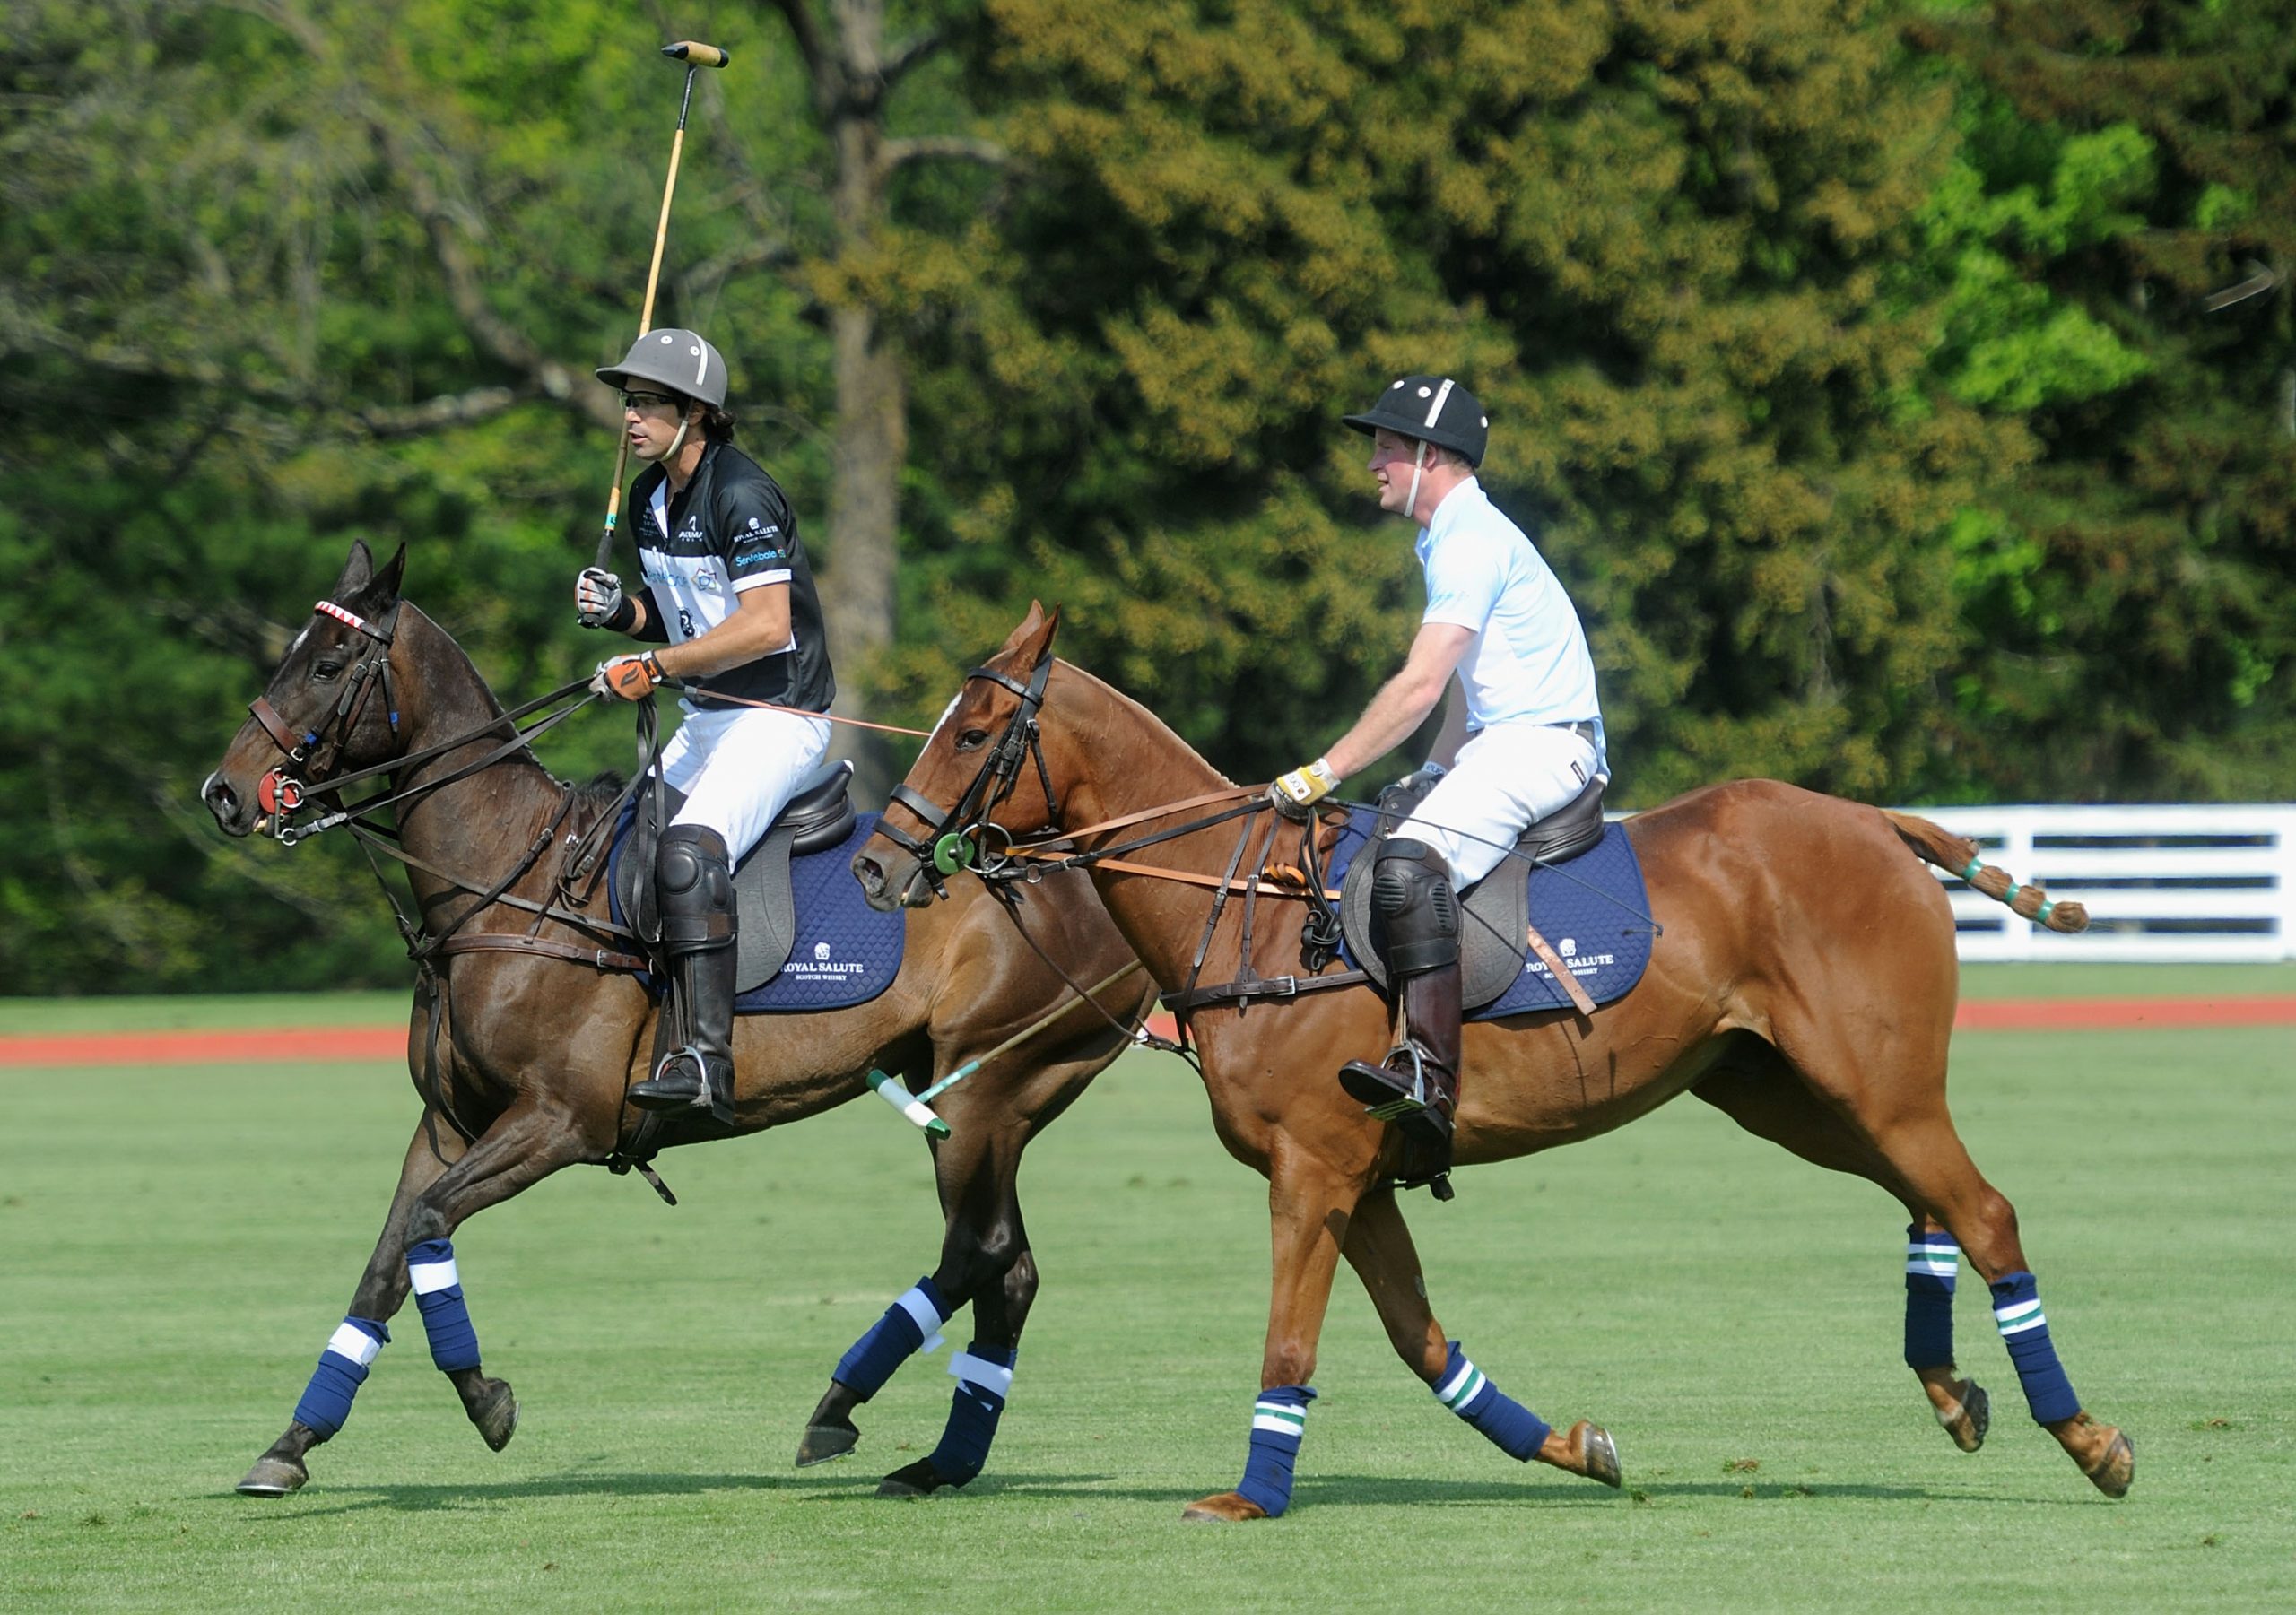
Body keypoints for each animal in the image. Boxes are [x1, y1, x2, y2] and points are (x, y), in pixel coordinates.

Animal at [199, 545, 1148, 1505]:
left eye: (327, 665)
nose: (224, 795)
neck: (509, 883)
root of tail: (1079, 868)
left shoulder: (560, 1121)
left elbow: (427, 1226)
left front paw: (487, 1399)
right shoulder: (447, 1123)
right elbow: (387, 1261)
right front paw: (291, 1443)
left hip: (989, 1087)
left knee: (980, 1251)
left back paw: (841, 1406)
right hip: (973, 1099)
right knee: (1009, 1269)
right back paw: (940, 1459)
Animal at [858, 610, 2130, 1523]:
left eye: (969, 732)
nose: (877, 866)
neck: (1247, 908)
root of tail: (1878, 819)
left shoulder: (1311, 1170)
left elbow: (1290, 1335)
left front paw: (1251, 1495)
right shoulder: (1360, 1178)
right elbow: (1422, 1342)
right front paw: (1578, 1447)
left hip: (1876, 1081)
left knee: (1985, 1210)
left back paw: (2091, 1442)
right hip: (1782, 1091)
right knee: (1931, 1205)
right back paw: (1953, 1393)